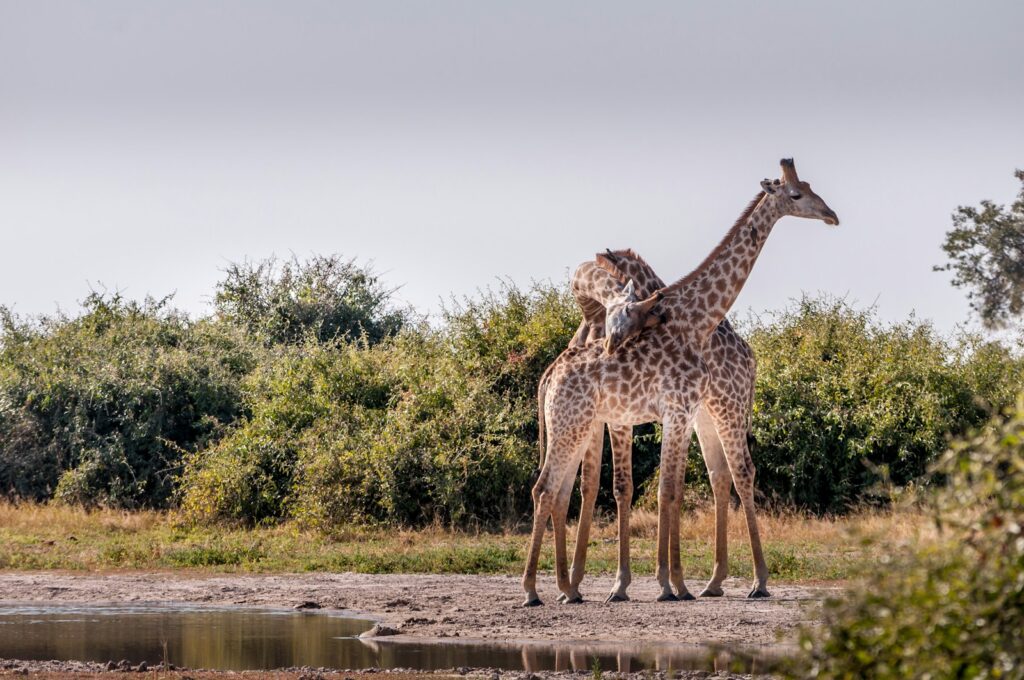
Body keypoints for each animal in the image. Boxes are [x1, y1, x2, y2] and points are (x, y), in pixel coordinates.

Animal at [522, 159, 838, 606]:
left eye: (810, 187)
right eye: (796, 194)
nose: (832, 215)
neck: (696, 321)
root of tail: (550, 377)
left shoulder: (679, 412)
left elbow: (668, 489)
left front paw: (668, 583)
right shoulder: (672, 410)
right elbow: (657, 489)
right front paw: (663, 585)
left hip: (593, 424)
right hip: (576, 424)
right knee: (547, 489)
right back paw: (535, 590)